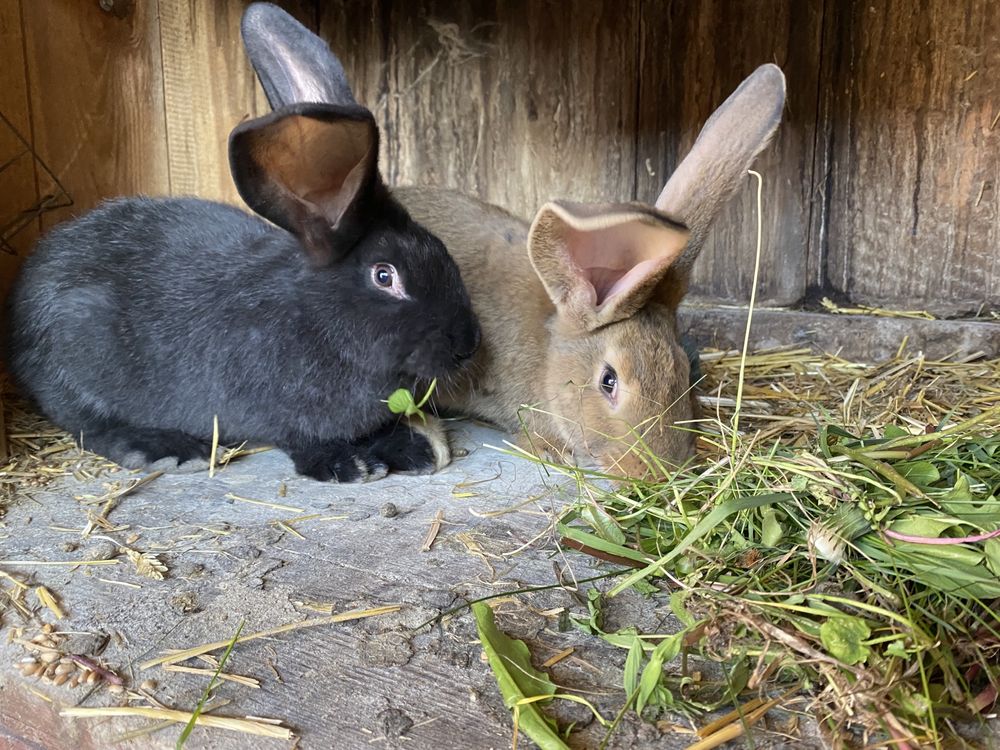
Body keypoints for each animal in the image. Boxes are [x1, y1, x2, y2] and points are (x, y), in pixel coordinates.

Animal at [3, 98, 480, 482]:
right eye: (385, 276)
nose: (469, 343)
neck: (315, 317)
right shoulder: (278, 410)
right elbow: (302, 439)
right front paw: (347, 464)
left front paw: (412, 448)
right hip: (78, 352)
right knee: (90, 425)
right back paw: (167, 450)